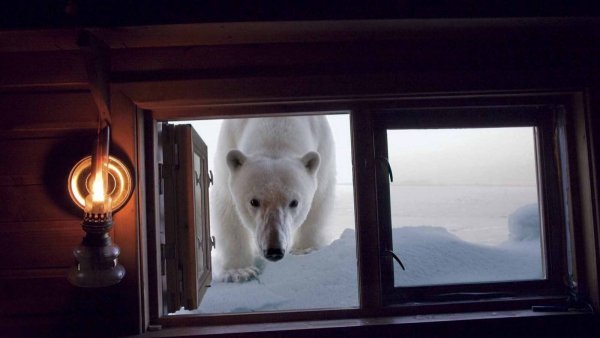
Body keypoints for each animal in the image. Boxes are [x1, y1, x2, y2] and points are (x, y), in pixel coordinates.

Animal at [209, 116, 336, 282]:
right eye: (253, 201)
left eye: (294, 202)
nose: (274, 250)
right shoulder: (228, 142)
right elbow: (227, 207)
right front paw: (240, 271)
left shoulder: (323, 148)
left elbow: (319, 199)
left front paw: (304, 249)